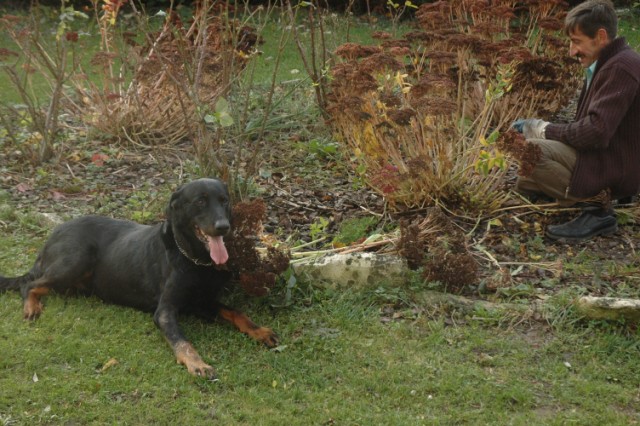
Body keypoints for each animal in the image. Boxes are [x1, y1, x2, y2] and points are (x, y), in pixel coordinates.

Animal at [0, 178, 280, 378]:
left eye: (224, 201)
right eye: (200, 202)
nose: (224, 227)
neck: (194, 259)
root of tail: (53, 234)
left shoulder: (202, 302)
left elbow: (236, 312)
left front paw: (260, 331)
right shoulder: (165, 311)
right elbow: (183, 341)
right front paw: (197, 363)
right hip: (75, 260)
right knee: (29, 283)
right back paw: (31, 307)